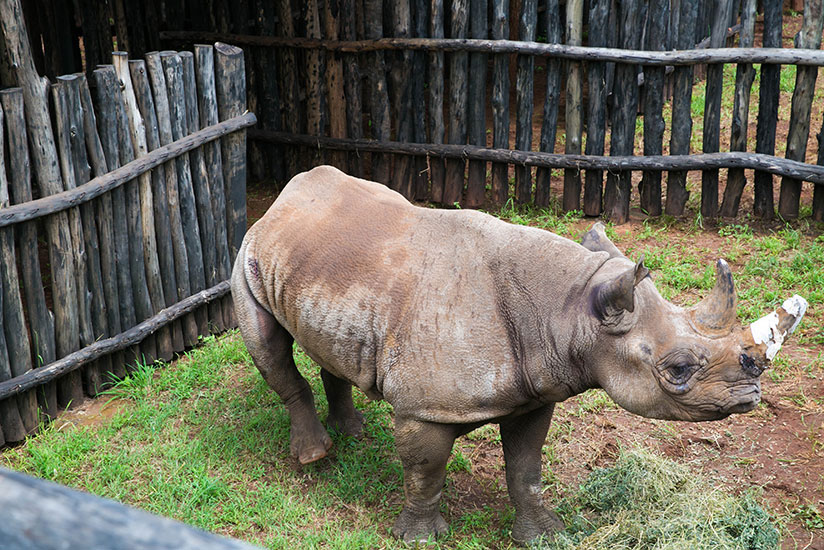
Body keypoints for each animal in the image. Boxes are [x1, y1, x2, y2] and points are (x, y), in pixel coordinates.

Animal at [231, 165, 807, 544]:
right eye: (679, 369)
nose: (751, 395)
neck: (571, 309)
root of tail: (286, 194)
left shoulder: (536, 389)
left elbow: (526, 468)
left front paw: (545, 534)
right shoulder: (424, 407)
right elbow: (425, 471)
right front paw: (420, 538)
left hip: (328, 261)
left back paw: (351, 433)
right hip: (249, 255)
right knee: (269, 348)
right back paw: (315, 455)